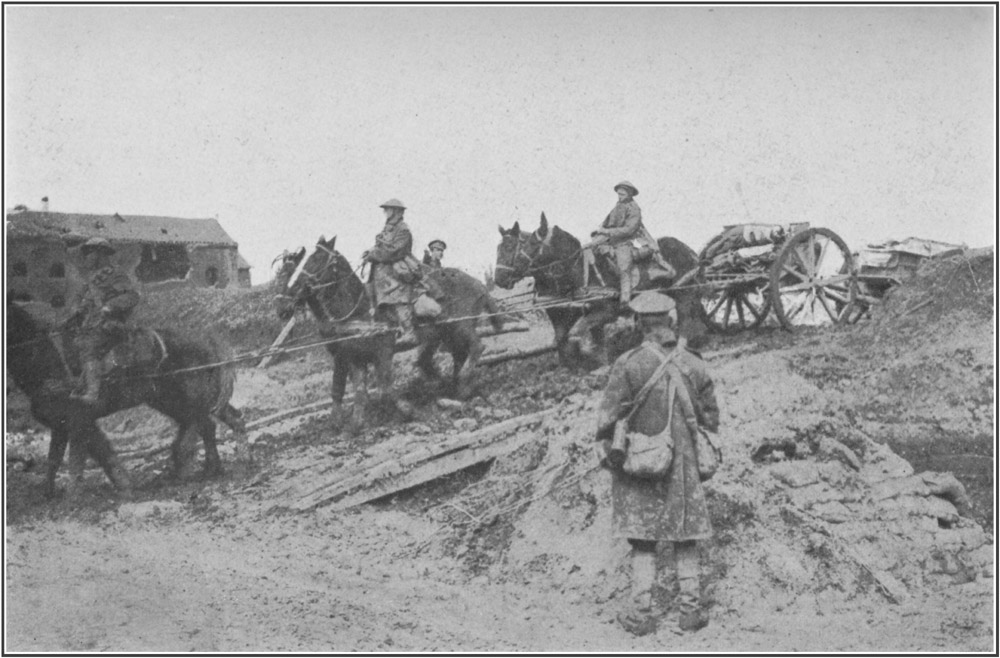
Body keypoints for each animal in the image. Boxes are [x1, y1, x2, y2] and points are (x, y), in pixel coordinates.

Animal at [6, 298, 248, 498]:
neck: (49, 367)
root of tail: (207, 337)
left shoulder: (77, 421)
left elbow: (75, 461)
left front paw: (73, 496)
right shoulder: (63, 424)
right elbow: (62, 459)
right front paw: (49, 494)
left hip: (192, 401)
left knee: (204, 426)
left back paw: (206, 467)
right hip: (179, 401)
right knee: (224, 420)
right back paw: (227, 465)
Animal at [274, 234, 504, 430]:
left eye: (316, 260)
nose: (282, 307)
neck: (359, 311)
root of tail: (479, 284)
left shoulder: (381, 352)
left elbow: (383, 389)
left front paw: (408, 410)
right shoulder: (354, 357)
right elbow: (357, 390)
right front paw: (355, 424)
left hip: (461, 326)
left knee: (477, 347)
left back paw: (463, 386)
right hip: (448, 333)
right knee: (455, 355)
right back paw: (457, 385)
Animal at [494, 213, 704, 364]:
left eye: (530, 244)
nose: (499, 279)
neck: (577, 270)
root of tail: (687, 248)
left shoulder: (605, 312)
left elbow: (577, 333)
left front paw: (592, 357)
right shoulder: (564, 314)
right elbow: (564, 339)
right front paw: (575, 365)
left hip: (683, 292)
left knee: (686, 319)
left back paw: (682, 348)